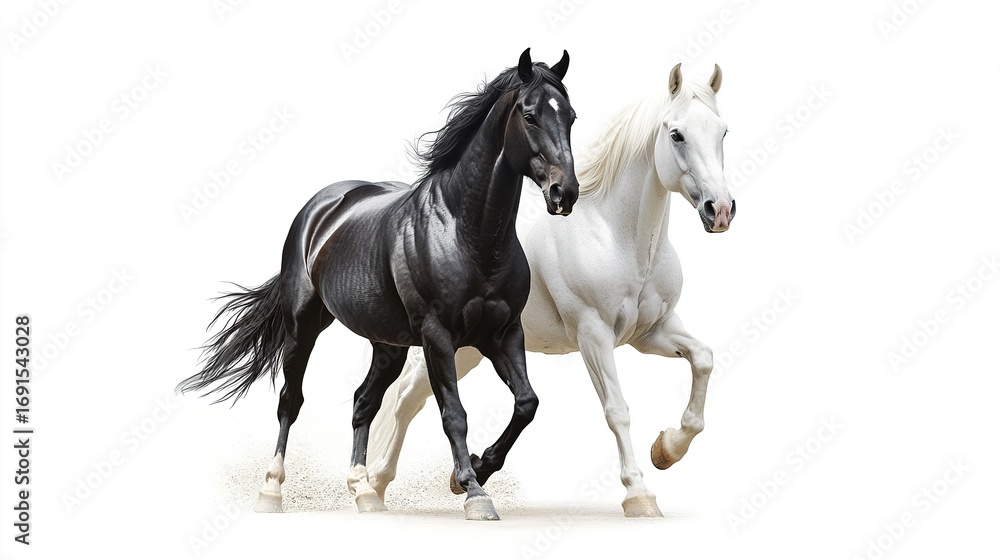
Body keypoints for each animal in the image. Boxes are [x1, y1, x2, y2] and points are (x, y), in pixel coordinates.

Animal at [175, 48, 579, 521]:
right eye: (530, 116)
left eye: (571, 116)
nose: (565, 193)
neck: (468, 233)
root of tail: (319, 209)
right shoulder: (438, 337)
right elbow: (454, 413)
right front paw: (473, 492)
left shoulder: (502, 334)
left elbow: (527, 404)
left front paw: (477, 469)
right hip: (303, 326)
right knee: (290, 400)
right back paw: (271, 491)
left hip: (388, 345)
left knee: (362, 402)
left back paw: (364, 491)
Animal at [364, 63, 733, 518]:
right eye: (677, 134)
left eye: (723, 131)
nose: (720, 210)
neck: (615, 236)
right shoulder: (594, 335)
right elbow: (617, 410)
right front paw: (640, 495)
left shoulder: (652, 332)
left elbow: (703, 360)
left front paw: (666, 449)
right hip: (450, 346)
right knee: (404, 400)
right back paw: (379, 486)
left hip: (467, 350)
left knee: (409, 400)